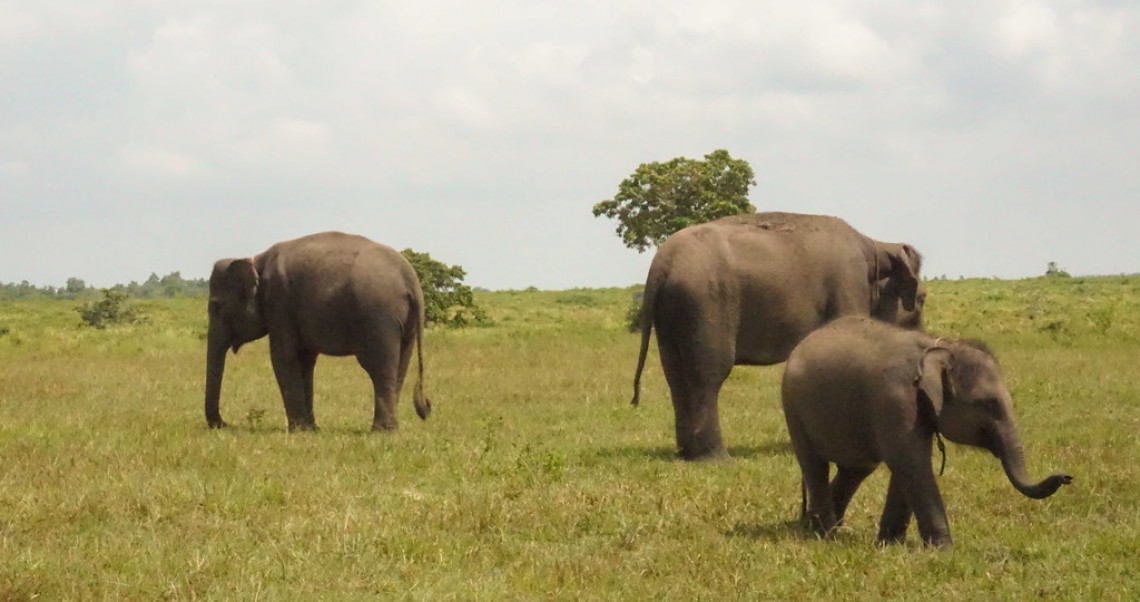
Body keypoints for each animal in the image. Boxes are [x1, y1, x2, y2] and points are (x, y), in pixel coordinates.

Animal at [202, 230, 428, 433]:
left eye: (216, 307)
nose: (225, 424)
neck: (255, 259)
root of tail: (411, 280)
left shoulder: (279, 304)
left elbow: (283, 358)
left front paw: (299, 430)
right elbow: (305, 361)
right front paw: (312, 429)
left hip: (378, 316)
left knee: (380, 368)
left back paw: (381, 432)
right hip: (404, 324)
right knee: (400, 368)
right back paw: (389, 429)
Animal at [633, 212, 925, 460]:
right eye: (922, 298)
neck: (875, 244)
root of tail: (661, 264)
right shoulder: (848, 283)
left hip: (671, 313)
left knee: (675, 374)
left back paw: (686, 454)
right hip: (704, 302)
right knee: (707, 373)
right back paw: (716, 459)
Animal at [779, 316, 1071, 547]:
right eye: (988, 404)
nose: (1067, 477)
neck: (940, 346)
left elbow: (908, 464)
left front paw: (890, 544)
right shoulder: (894, 398)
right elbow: (911, 461)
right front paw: (944, 550)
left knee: (856, 469)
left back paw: (816, 527)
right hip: (793, 407)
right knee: (814, 465)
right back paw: (825, 535)